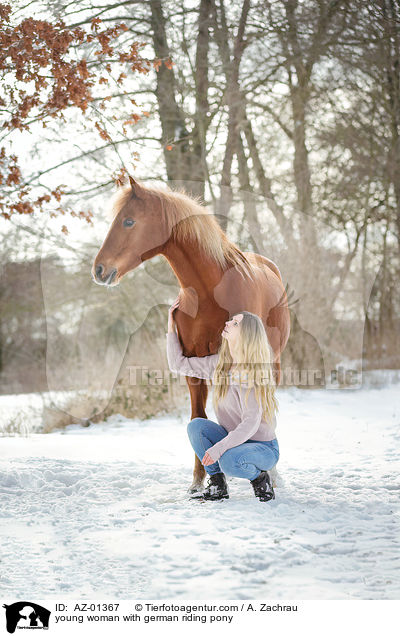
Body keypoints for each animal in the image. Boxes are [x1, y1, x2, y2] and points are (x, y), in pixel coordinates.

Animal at [92, 178, 290, 492]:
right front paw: (200, 482)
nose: (99, 269)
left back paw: (274, 474)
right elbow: (198, 416)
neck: (208, 292)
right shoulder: (192, 367)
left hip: (275, 362)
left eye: (129, 221)